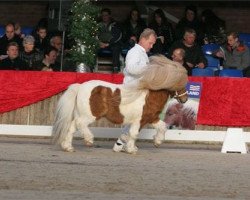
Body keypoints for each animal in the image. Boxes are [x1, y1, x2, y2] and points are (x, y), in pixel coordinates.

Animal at [53, 55, 189, 154]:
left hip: (81, 114)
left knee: (71, 127)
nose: (185, 99)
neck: (149, 97)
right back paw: (89, 140)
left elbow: (162, 126)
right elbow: (134, 134)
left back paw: (68, 147)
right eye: (181, 83)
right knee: (80, 124)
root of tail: (80, 86)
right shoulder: (139, 120)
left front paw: (157, 142)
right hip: (89, 115)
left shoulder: (151, 118)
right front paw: (131, 149)